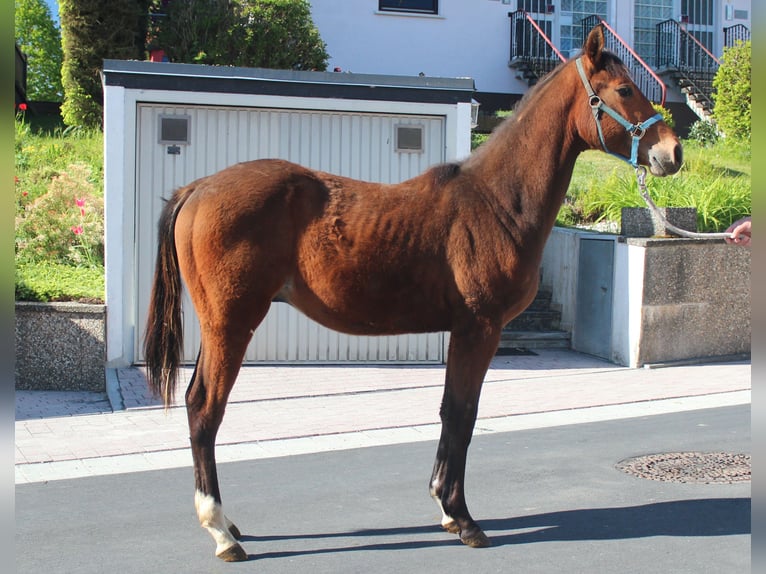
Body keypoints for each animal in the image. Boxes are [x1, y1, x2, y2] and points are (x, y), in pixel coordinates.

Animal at [144, 26, 682, 562]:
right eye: (624, 90)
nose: (673, 153)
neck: (496, 202)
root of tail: (197, 188)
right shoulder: (479, 329)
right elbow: (463, 413)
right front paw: (463, 518)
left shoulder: (463, 332)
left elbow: (449, 410)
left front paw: (445, 508)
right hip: (230, 323)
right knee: (204, 407)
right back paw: (220, 531)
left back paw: (229, 524)